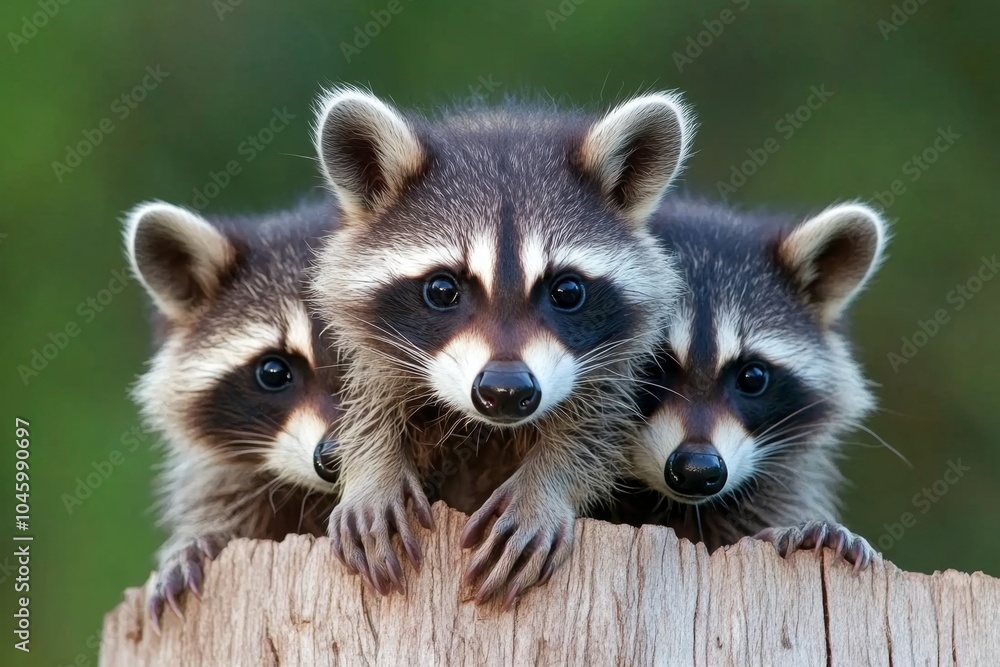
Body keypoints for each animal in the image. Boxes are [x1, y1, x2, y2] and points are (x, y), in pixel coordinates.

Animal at [309, 88, 695, 604]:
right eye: (442, 289)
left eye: (567, 291)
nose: (507, 391)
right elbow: (369, 400)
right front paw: (374, 469)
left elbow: (600, 426)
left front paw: (546, 485)